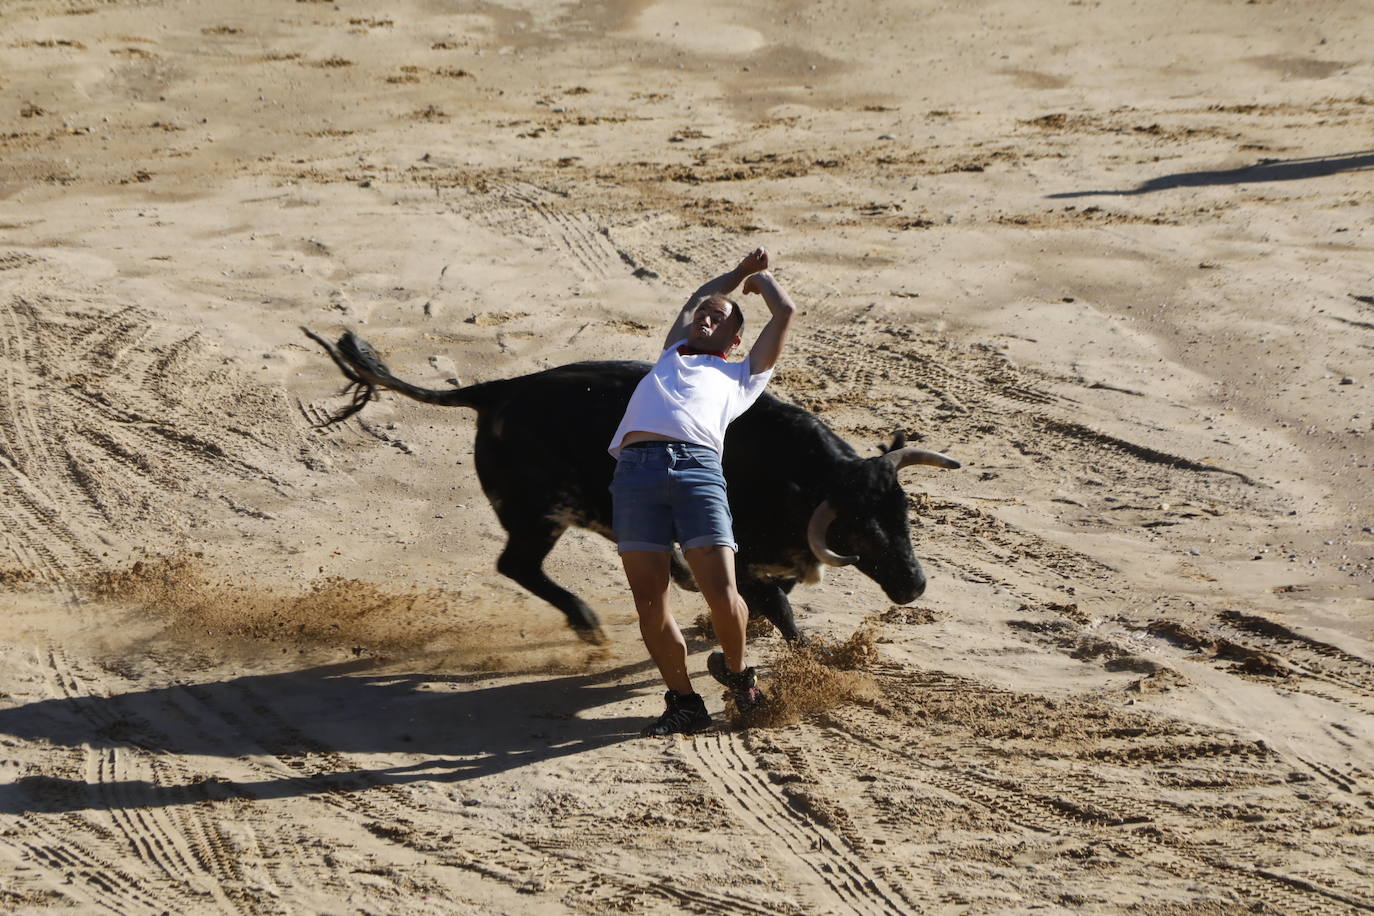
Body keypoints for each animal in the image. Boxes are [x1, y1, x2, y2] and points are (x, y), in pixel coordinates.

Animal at [306, 330, 961, 645]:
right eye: (859, 533)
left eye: (904, 516)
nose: (915, 585)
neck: (800, 477)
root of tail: (498, 391)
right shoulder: (744, 559)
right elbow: (781, 612)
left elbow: (776, 598)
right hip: (540, 513)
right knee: (516, 565)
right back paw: (588, 624)